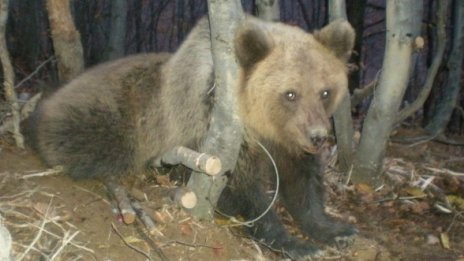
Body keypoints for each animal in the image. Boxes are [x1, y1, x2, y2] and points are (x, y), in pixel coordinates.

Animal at [29, 16, 356, 258]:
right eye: (290, 93)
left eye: (325, 91)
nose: (318, 137)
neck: (260, 125)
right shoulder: (210, 128)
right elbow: (240, 191)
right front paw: (294, 243)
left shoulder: (287, 143)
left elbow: (303, 185)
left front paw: (337, 230)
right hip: (111, 116)